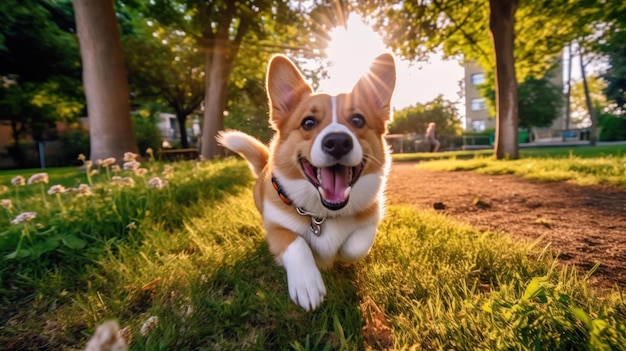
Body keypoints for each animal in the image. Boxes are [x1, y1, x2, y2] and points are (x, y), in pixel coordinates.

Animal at [217, 52, 394, 310]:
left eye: (358, 120)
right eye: (308, 123)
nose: (338, 142)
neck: (324, 214)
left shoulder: (371, 219)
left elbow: (355, 245)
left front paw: (337, 258)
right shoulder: (277, 228)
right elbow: (297, 243)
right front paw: (307, 283)